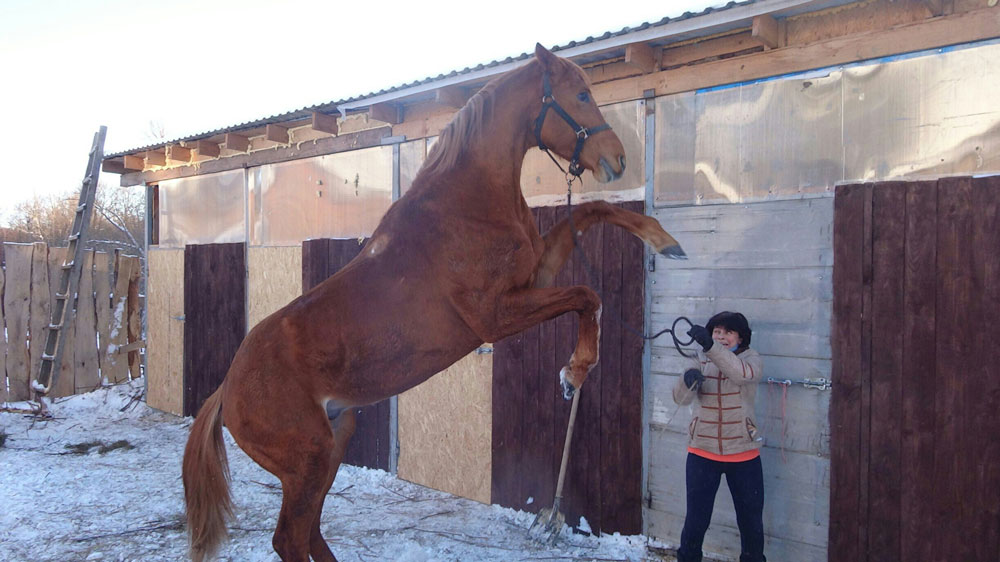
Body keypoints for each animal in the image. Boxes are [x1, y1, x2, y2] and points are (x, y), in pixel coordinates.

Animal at [184, 44, 688, 560]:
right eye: (582, 95)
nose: (618, 159)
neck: (465, 205)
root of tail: (226, 389)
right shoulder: (496, 315)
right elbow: (587, 295)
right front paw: (575, 371)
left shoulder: (537, 274)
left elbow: (593, 213)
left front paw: (665, 241)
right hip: (308, 460)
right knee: (289, 537)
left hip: (334, 443)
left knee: (309, 531)